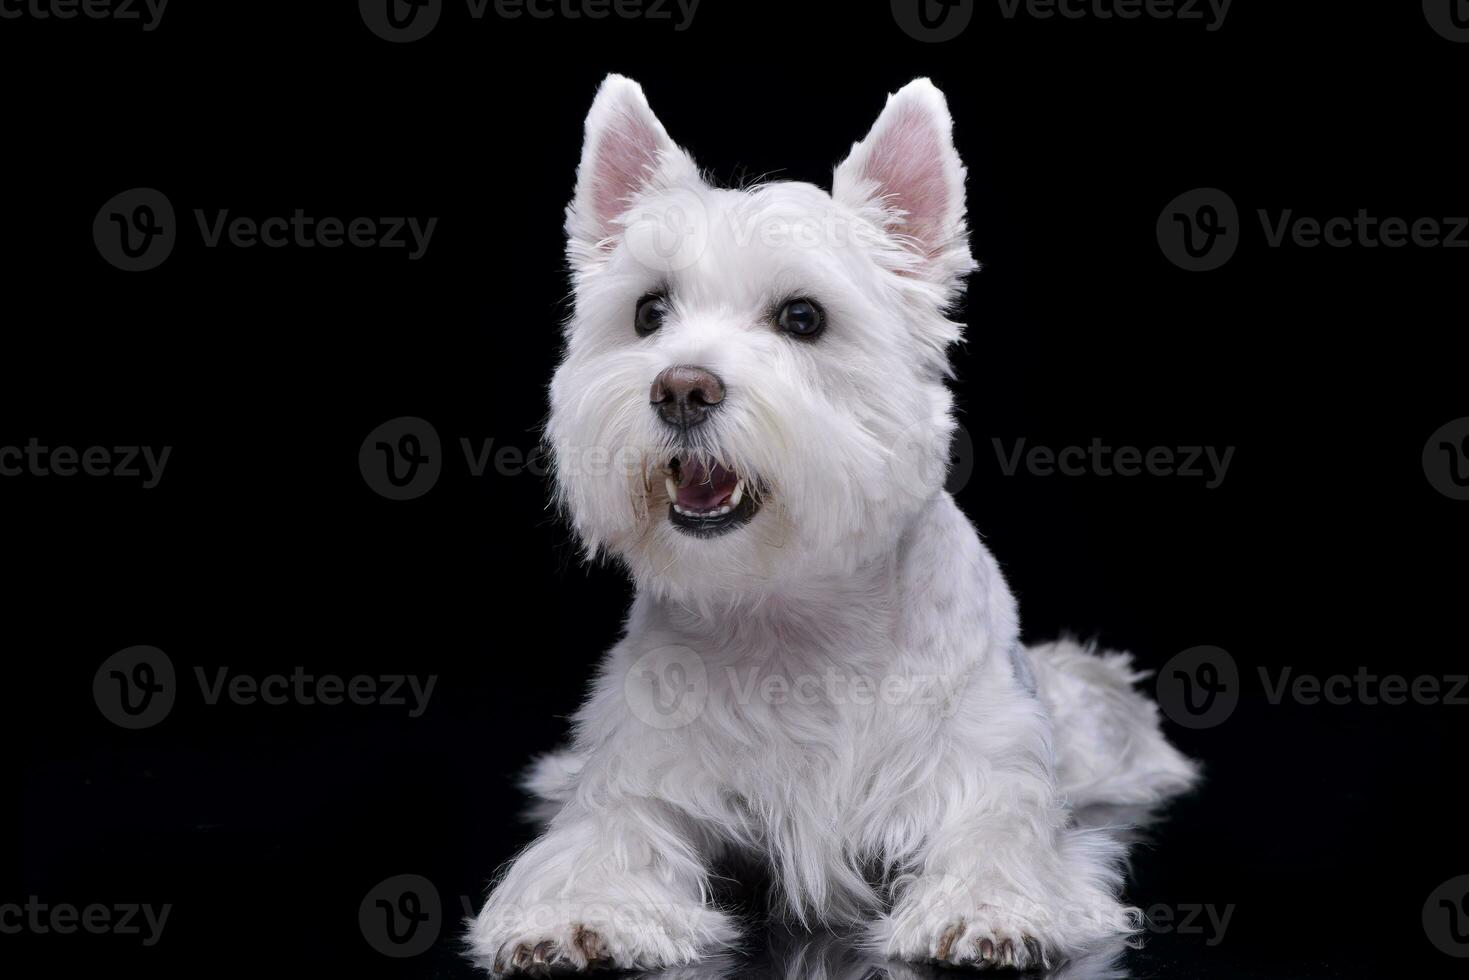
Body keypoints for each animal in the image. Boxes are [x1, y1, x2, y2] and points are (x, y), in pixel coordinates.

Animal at [464, 74, 1198, 975]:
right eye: (647, 313)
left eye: (802, 318)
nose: (680, 388)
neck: (791, 613)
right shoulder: (638, 777)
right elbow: (602, 840)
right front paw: (578, 915)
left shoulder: (987, 778)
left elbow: (998, 840)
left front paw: (985, 912)